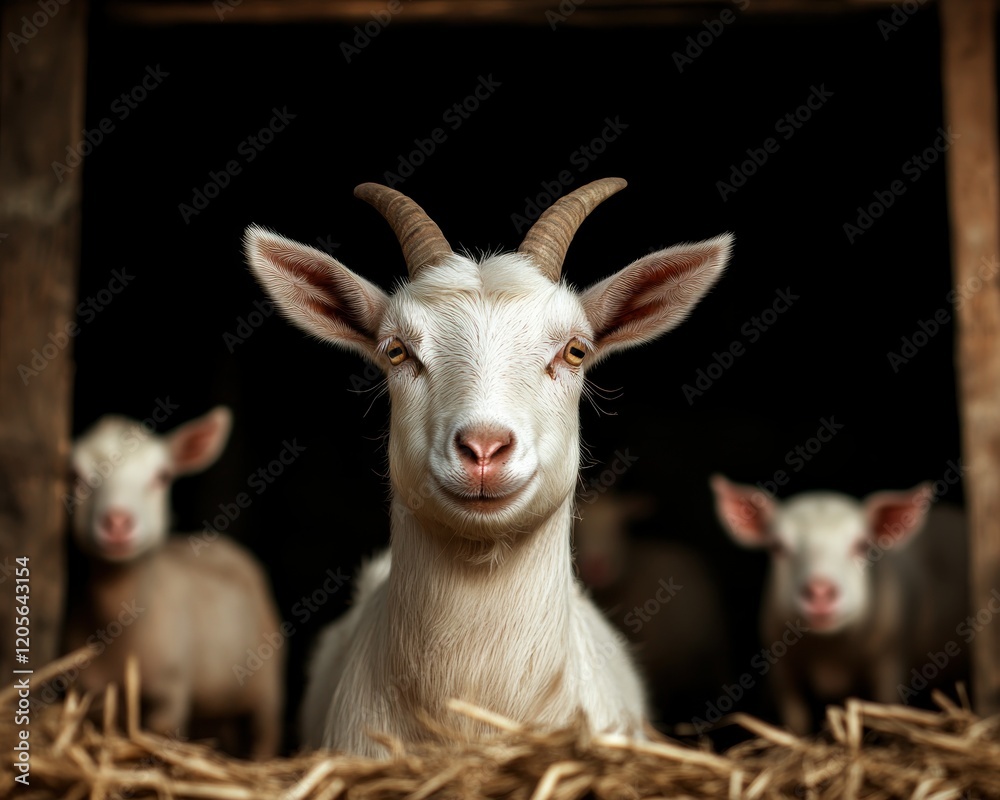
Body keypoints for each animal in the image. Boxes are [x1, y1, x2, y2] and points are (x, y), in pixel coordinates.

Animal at [64, 406, 285, 759]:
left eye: (162, 476)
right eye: (75, 476)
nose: (117, 522)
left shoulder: (172, 690)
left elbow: (161, 733)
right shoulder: (92, 691)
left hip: (268, 682)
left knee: (266, 732)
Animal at [710, 474, 968, 734]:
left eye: (862, 545)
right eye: (777, 546)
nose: (820, 589)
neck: (831, 655)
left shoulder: (892, 655)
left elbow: (887, 705)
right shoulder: (780, 662)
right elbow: (796, 717)